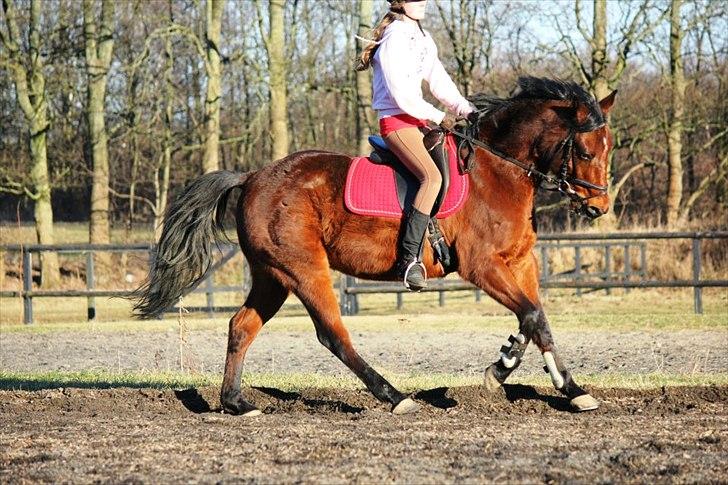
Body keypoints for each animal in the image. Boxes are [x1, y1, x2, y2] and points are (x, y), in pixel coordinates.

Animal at [133, 77, 616, 416]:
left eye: (608, 148)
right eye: (586, 152)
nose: (599, 206)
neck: (498, 170)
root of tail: (252, 177)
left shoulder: (519, 262)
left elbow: (536, 320)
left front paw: (557, 384)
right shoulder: (482, 265)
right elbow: (532, 315)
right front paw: (513, 373)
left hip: (273, 276)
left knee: (241, 326)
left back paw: (237, 402)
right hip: (303, 270)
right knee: (333, 334)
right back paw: (394, 396)